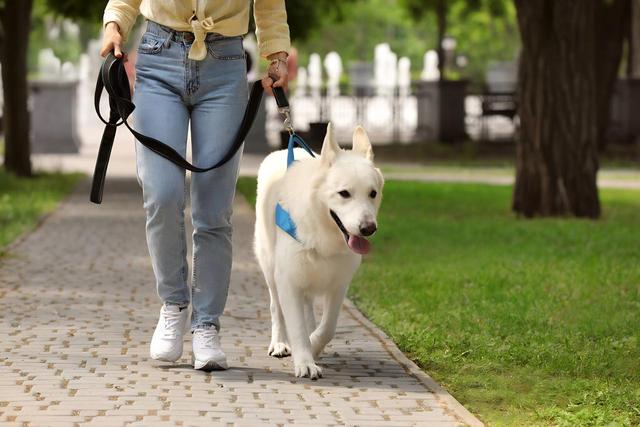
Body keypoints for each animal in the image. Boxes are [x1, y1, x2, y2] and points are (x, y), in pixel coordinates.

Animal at [252, 124, 382, 382]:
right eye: (344, 193)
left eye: (372, 193)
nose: (368, 228)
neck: (324, 234)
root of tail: (280, 152)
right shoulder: (288, 281)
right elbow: (296, 327)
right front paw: (305, 361)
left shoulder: (339, 285)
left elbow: (328, 327)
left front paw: (313, 346)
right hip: (270, 269)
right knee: (276, 309)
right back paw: (280, 343)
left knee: (308, 308)